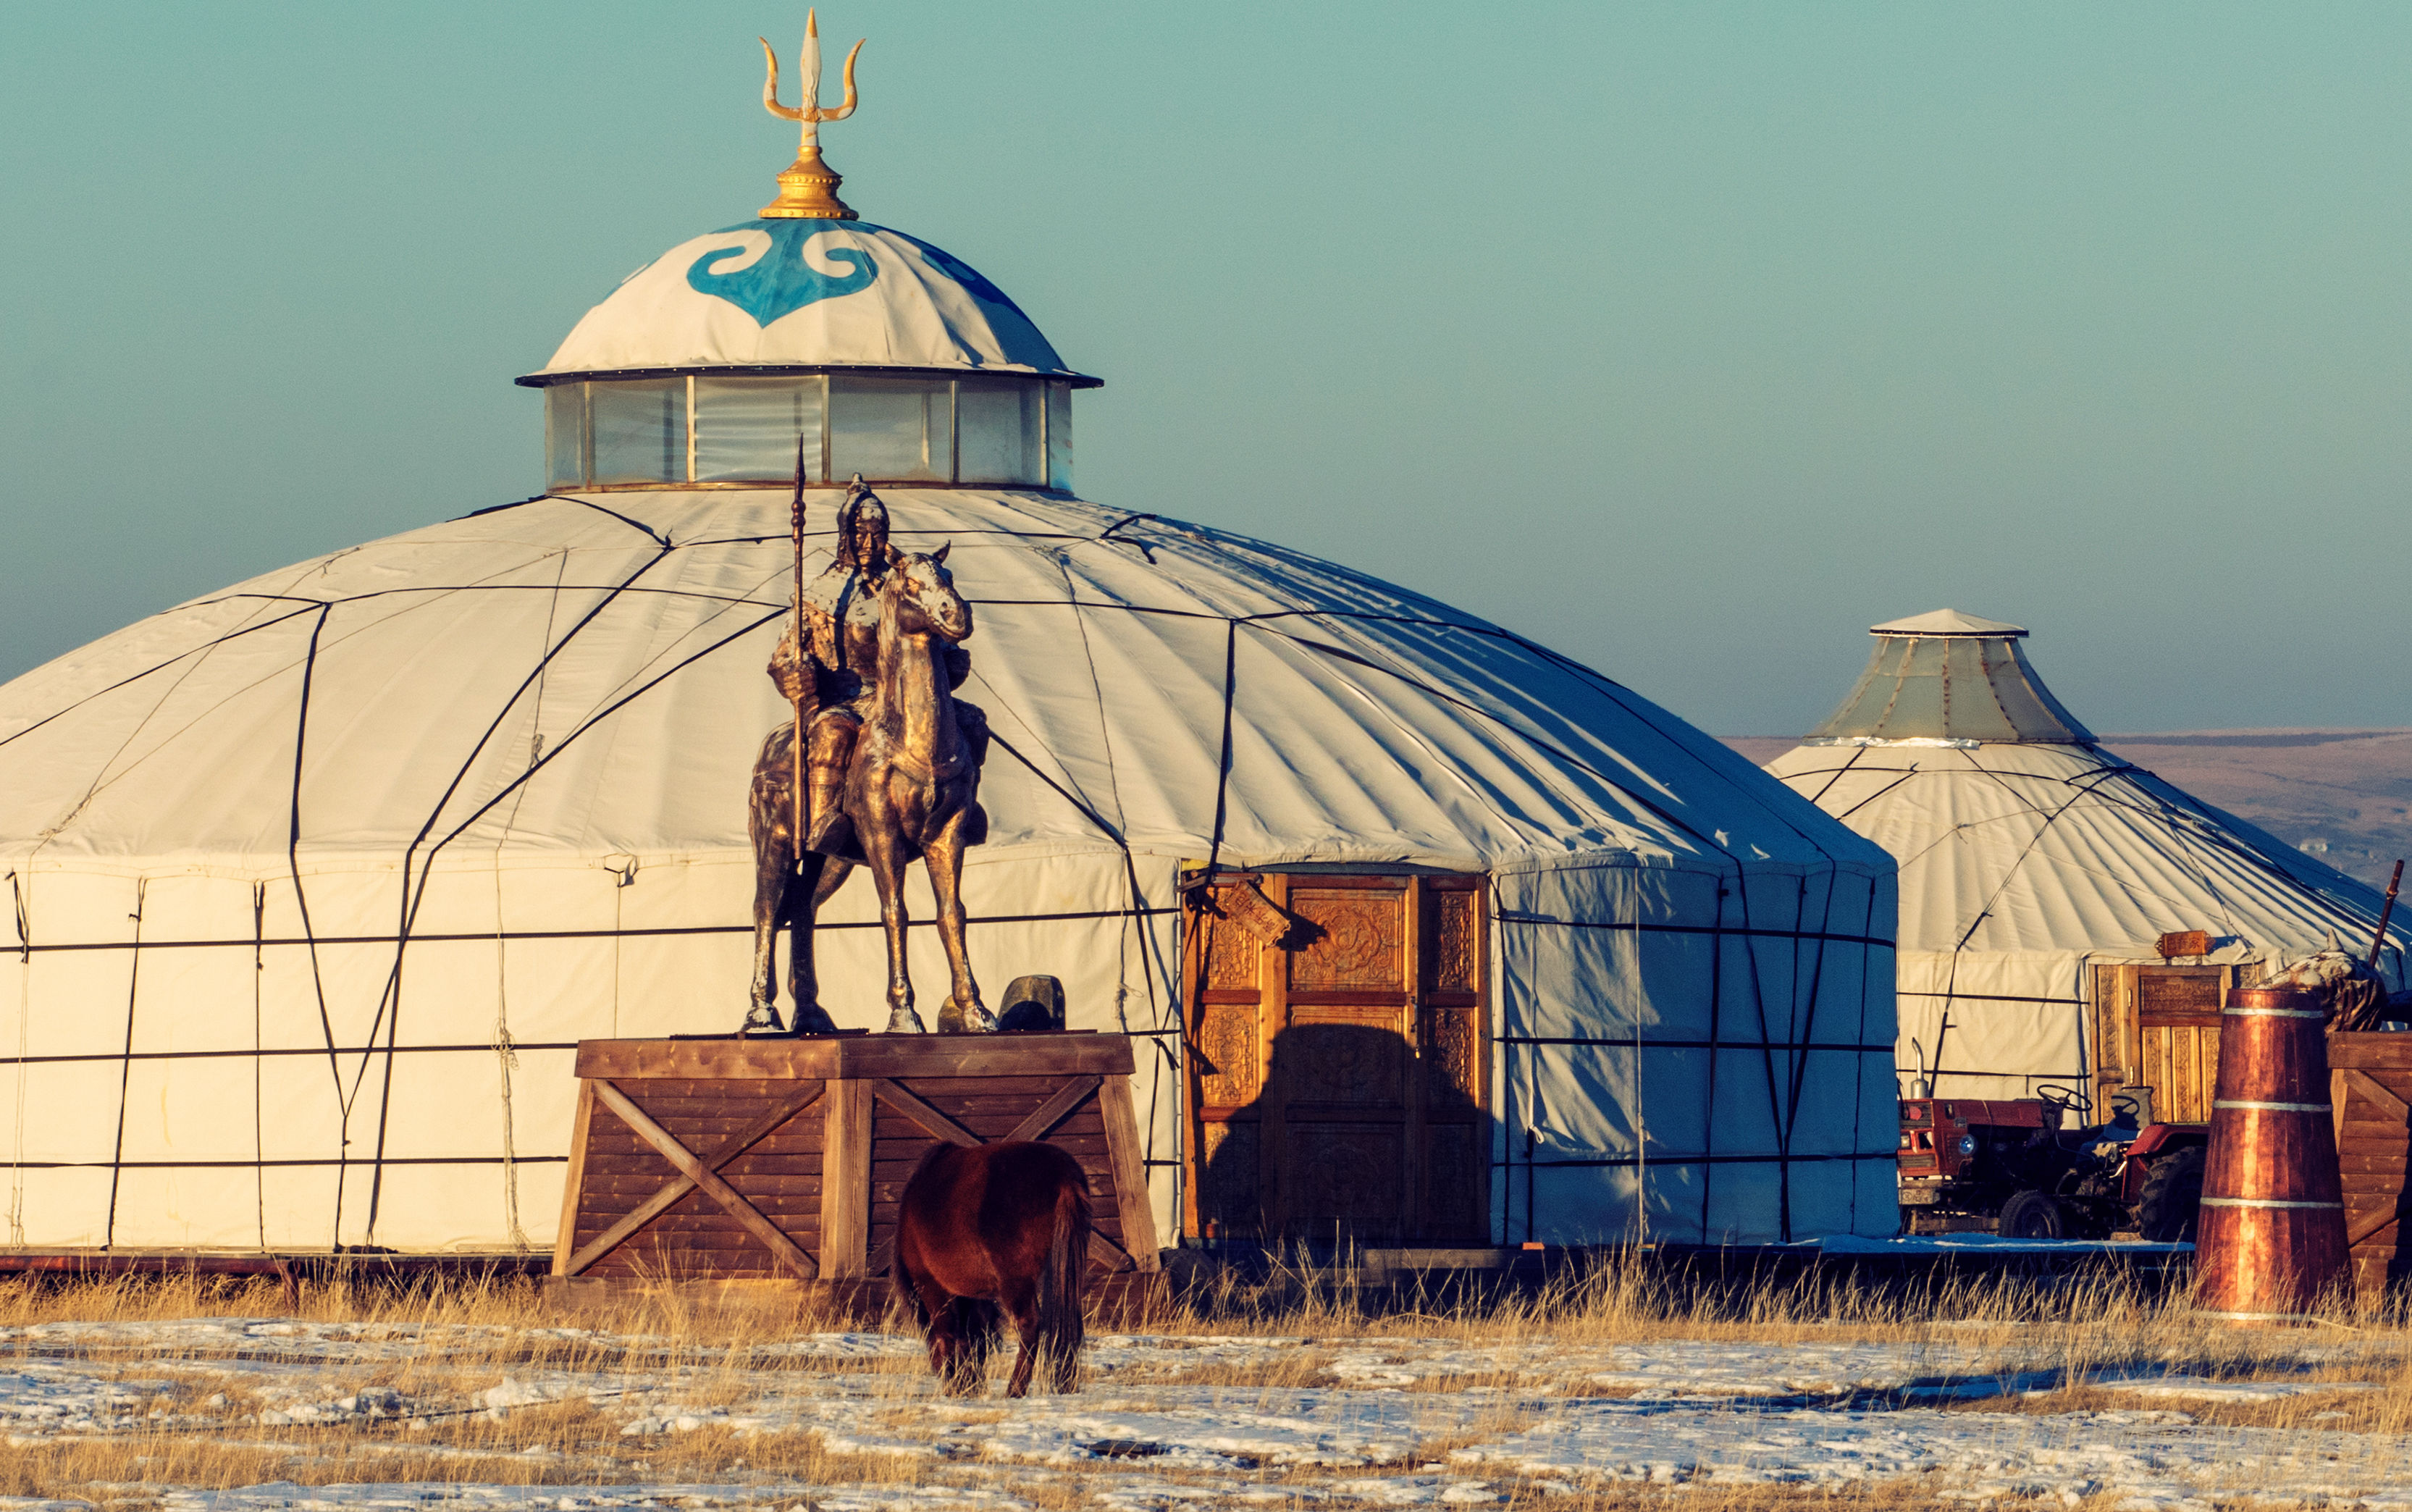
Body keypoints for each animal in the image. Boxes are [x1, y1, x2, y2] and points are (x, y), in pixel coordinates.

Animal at [892, 1148, 1090, 1398]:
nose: (970, 1388)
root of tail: (1062, 1174)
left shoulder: (933, 1287)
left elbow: (947, 1334)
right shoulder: (971, 1294)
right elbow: (973, 1337)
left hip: (1016, 1283)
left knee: (1029, 1325)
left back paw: (1015, 1389)